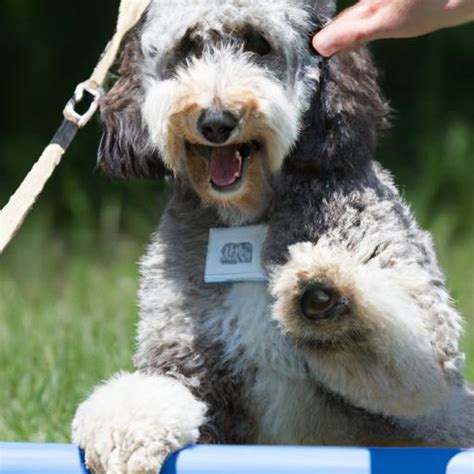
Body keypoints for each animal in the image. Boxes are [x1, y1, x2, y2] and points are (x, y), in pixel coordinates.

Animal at [72, 0, 472, 472]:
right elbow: (146, 393)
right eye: (189, 47)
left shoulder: (426, 337)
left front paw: (322, 294)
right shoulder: (185, 359)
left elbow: (414, 358)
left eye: (258, 44)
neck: (247, 217)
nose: (216, 121)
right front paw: (126, 438)